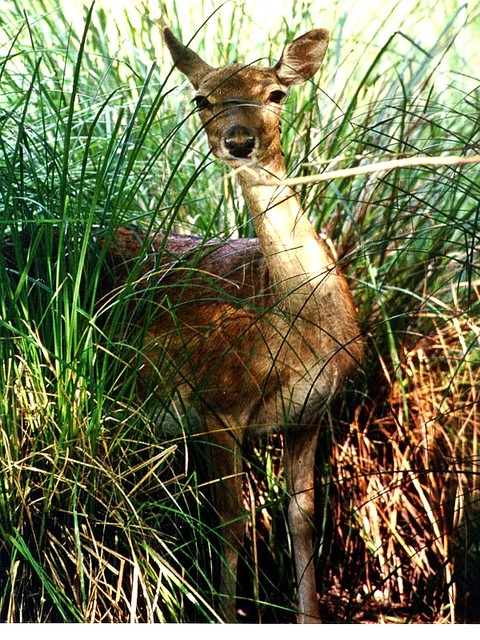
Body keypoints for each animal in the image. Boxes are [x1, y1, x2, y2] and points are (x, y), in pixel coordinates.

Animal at [99, 27, 362, 624]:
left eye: (276, 93)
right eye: (202, 99)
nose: (238, 141)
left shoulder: (311, 414)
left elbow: (301, 521)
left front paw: (310, 616)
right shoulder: (214, 404)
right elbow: (231, 526)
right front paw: (223, 611)